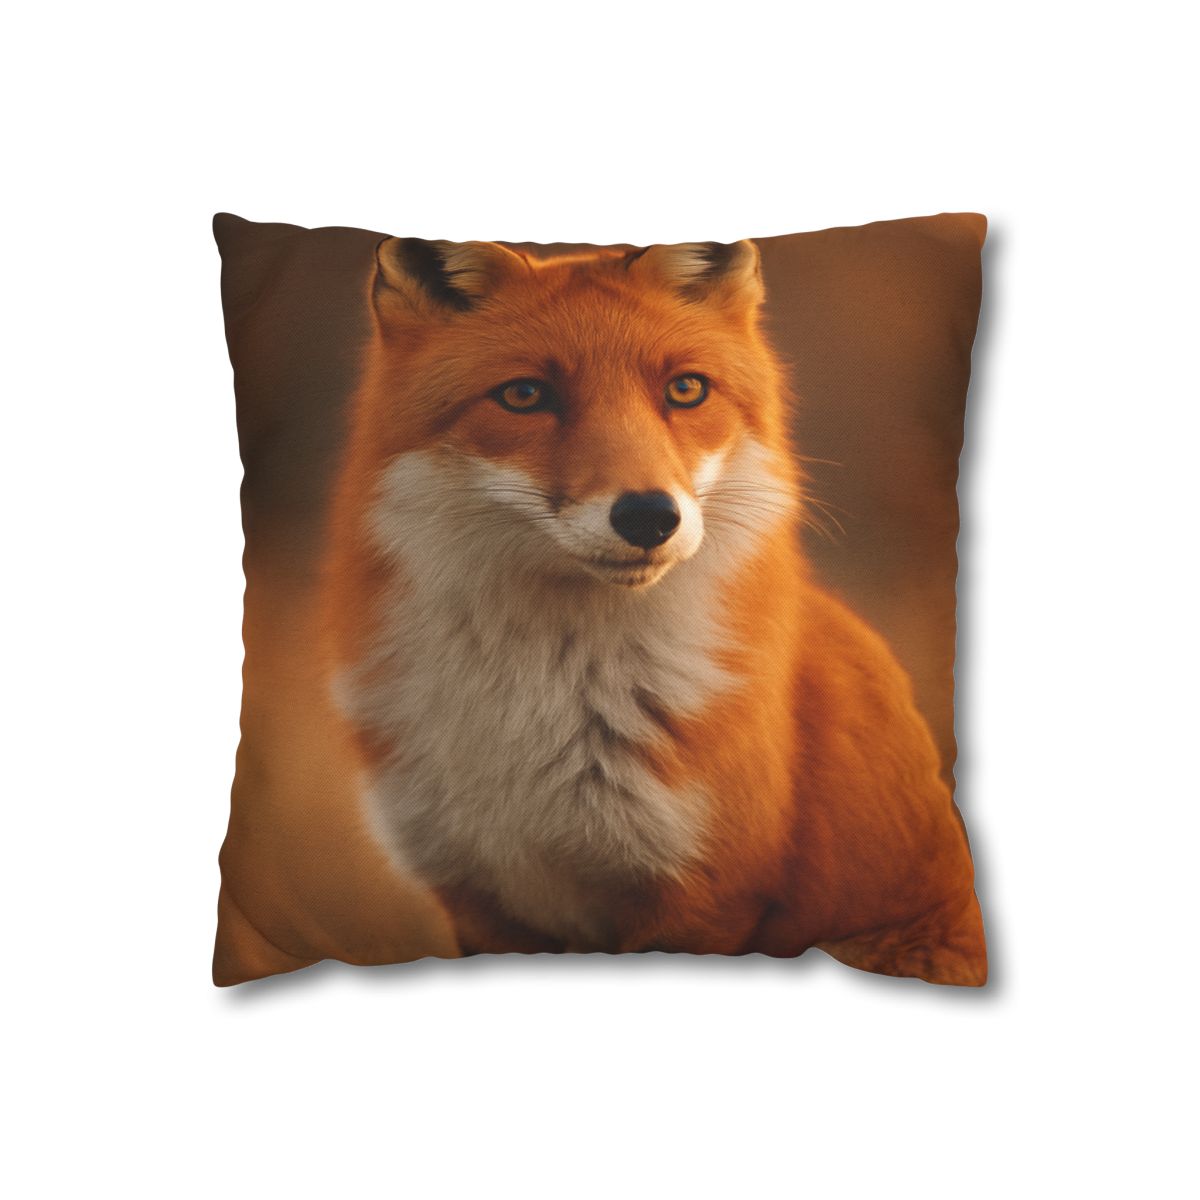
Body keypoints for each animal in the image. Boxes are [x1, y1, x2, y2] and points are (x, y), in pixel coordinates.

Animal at [322, 235, 986, 986]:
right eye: (525, 395)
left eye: (685, 389)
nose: (648, 516)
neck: (542, 707)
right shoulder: (477, 897)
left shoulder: (708, 893)